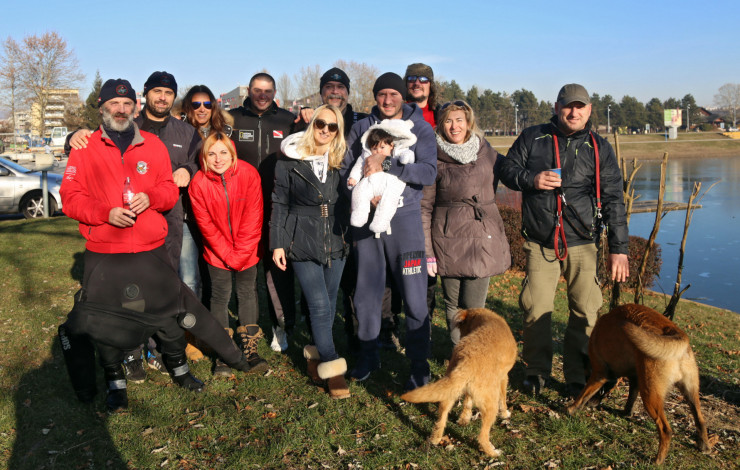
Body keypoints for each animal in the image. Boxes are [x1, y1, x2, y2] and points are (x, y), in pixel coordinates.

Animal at [402, 306, 516, 458]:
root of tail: (467, 360)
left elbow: (467, 403)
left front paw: (464, 419)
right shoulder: (504, 378)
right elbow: (503, 400)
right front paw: (505, 414)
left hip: (450, 390)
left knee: (442, 416)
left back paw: (435, 438)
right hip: (490, 405)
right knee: (482, 436)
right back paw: (493, 452)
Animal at [568, 302, 712, 464]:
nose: (593, 404)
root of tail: (677, 334)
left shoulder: (599, 374)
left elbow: (583, 395)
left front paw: (571, 409)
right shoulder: (635, 379)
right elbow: (631, 398)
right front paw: (627, 413)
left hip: (650, 396)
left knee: (665, 429)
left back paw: (658, 459)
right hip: (690, 392)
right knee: (700, 420)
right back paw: (704, 446)